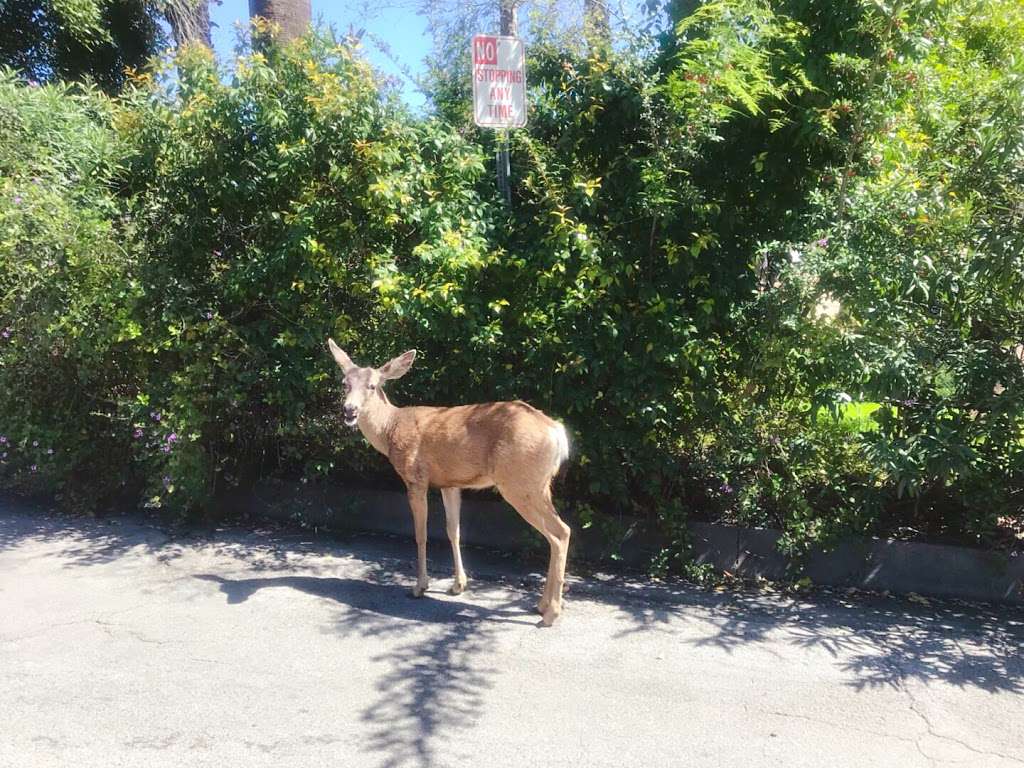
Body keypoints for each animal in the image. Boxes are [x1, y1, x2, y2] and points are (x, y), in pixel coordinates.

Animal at [327, 342, 573, 626]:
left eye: (373, 385)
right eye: (345, 383)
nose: (349, 410)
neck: (390, 429)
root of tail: (557, 432)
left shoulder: (416, 478)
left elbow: (421, 533)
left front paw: (419, 587)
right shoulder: (450, 483)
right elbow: (453, 531)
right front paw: (458, 585)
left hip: (519, 483)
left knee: (560, 533)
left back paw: (551, 613)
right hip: (540, 485)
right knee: (559, 533)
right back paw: (543, 605)